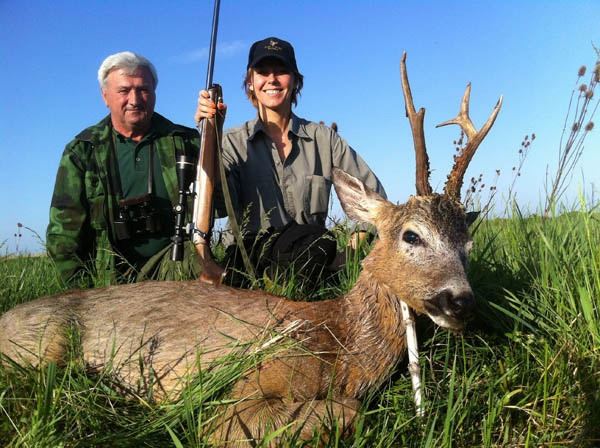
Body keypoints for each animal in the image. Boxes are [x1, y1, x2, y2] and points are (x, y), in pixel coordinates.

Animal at [0, 53, 501, 446]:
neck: (340, 345)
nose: (460, 301)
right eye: (411, 235)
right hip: (42, 349)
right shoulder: (234, 395)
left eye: (467, 243)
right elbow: (345, 411)